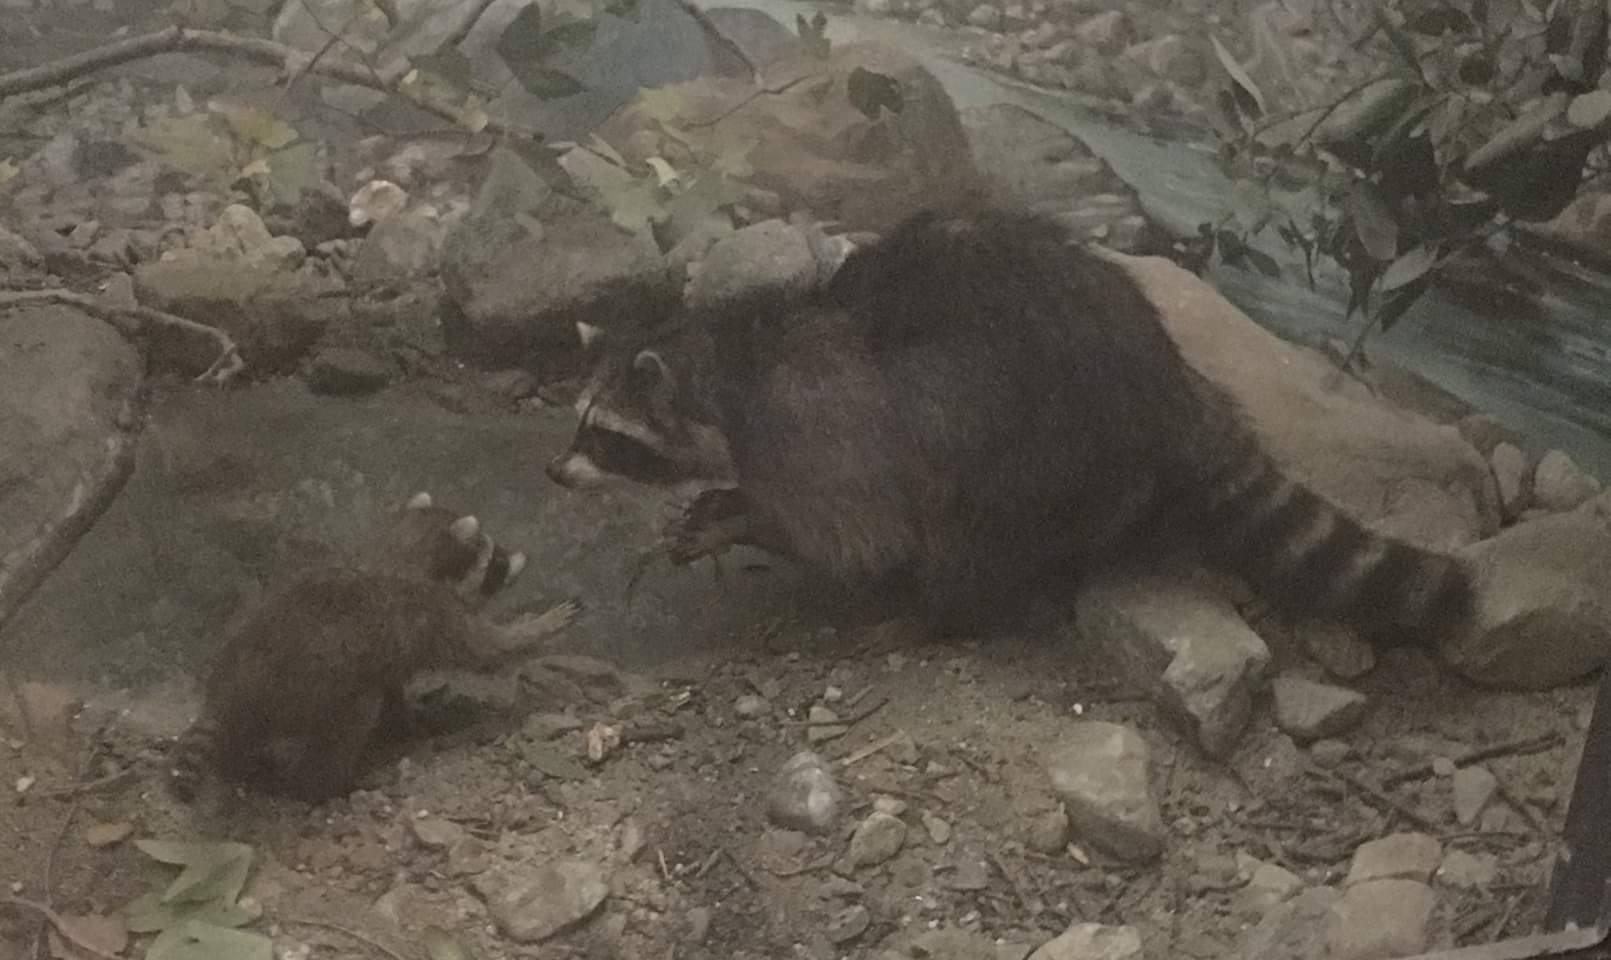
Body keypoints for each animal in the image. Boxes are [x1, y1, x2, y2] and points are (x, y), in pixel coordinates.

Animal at [170, 492, 579, 803]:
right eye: (497, 561)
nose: (523, 560)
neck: (402, 551)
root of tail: (229, 687)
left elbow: (394, 683)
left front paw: (403, 720)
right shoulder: (433, 613)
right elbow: (486, 652)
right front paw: (538, 626)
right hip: (314, 694)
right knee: (354, 717)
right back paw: (323, 783)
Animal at [546, 208, 1473, 643]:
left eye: (604, 437)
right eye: (576, 424)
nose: (554, 475)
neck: (721, 358)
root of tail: (1169, 393)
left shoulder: (814, 435)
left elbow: (852, 533)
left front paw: (741, 518)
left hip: (1028, 448)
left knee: (967, 529)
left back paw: (935, 615)